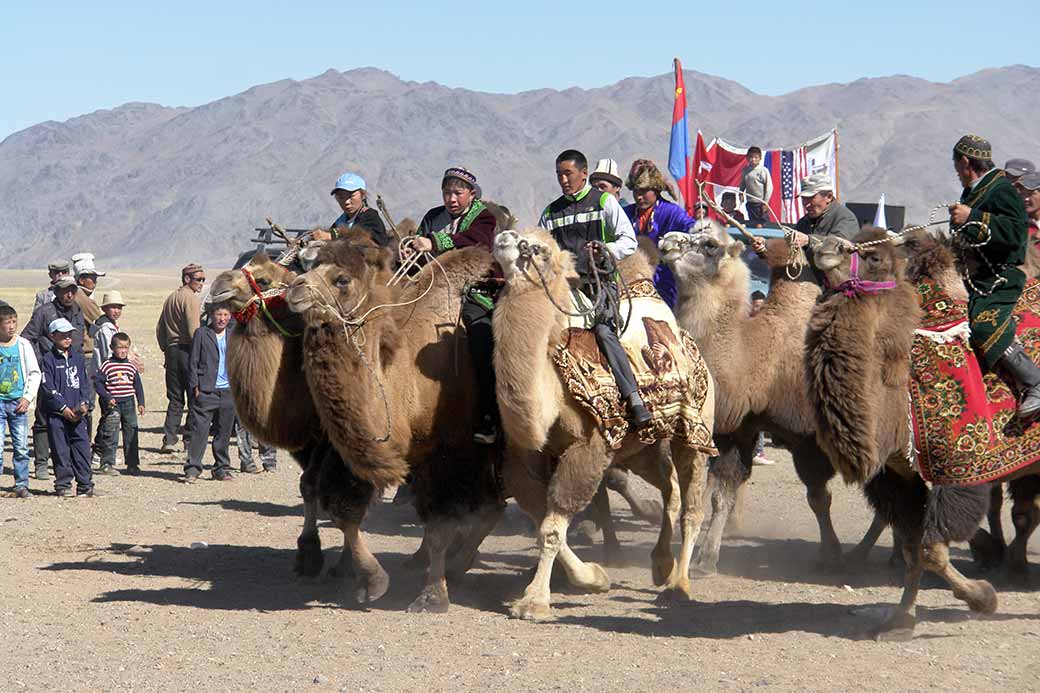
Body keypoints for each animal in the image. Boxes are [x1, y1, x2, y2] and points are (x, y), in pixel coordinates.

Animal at [287, 237, 505, 611]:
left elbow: (441, 523)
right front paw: (370, 581)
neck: (407, 376)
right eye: (308, 266)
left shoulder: (450, 450)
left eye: (342, 280)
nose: (296, 289)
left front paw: (432, 595)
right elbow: (342, 509)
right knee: (493, 505)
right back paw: (448, 564)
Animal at [488, 228, 715, 616]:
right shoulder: (526, 455)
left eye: (539, 250)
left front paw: (534, 602)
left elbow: (551, 527)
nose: (505, 235)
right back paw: (660, 565)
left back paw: (678, 586)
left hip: (695, 430)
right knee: (668, 485)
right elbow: (542, 520)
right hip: (639, 447)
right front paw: (593, 577)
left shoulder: (591, 444)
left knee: (691, 506)